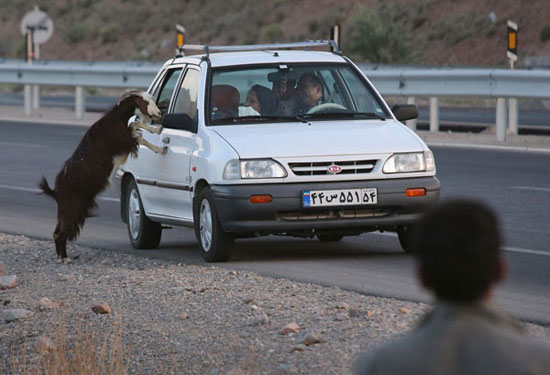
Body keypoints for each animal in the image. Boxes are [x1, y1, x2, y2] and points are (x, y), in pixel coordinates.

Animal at [40, 90, 165, 262]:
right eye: (144, 102)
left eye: (152, 99)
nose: (159, 113)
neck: (115, 120)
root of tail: (56, 190)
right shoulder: (125, 142)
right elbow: (140, 137)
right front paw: (161, 148)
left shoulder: (127, 137)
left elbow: (135, 126)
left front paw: (157, 131)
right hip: (73, 207)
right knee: (62, 232)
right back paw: (65, 258)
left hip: (67, 208)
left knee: (57, 231)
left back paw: (61, 257)